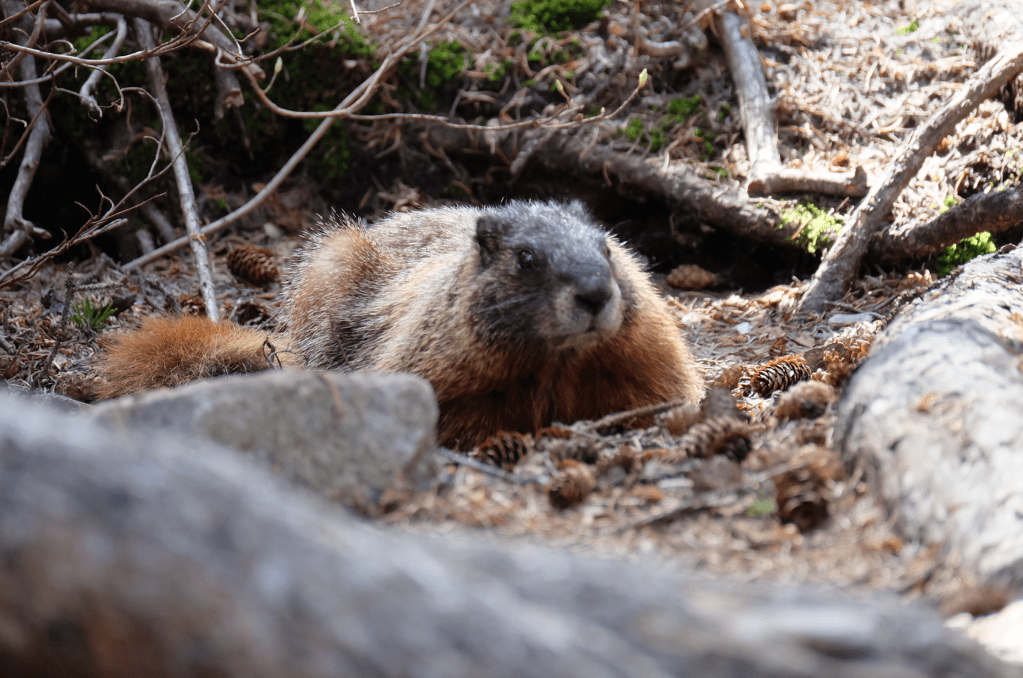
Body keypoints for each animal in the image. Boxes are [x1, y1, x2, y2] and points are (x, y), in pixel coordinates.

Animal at [96, 200, 705, 449]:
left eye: (607, 247)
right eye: (526, 258)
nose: (597, 293)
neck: (558, 362)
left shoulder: (642, 352)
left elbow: (656, 390)